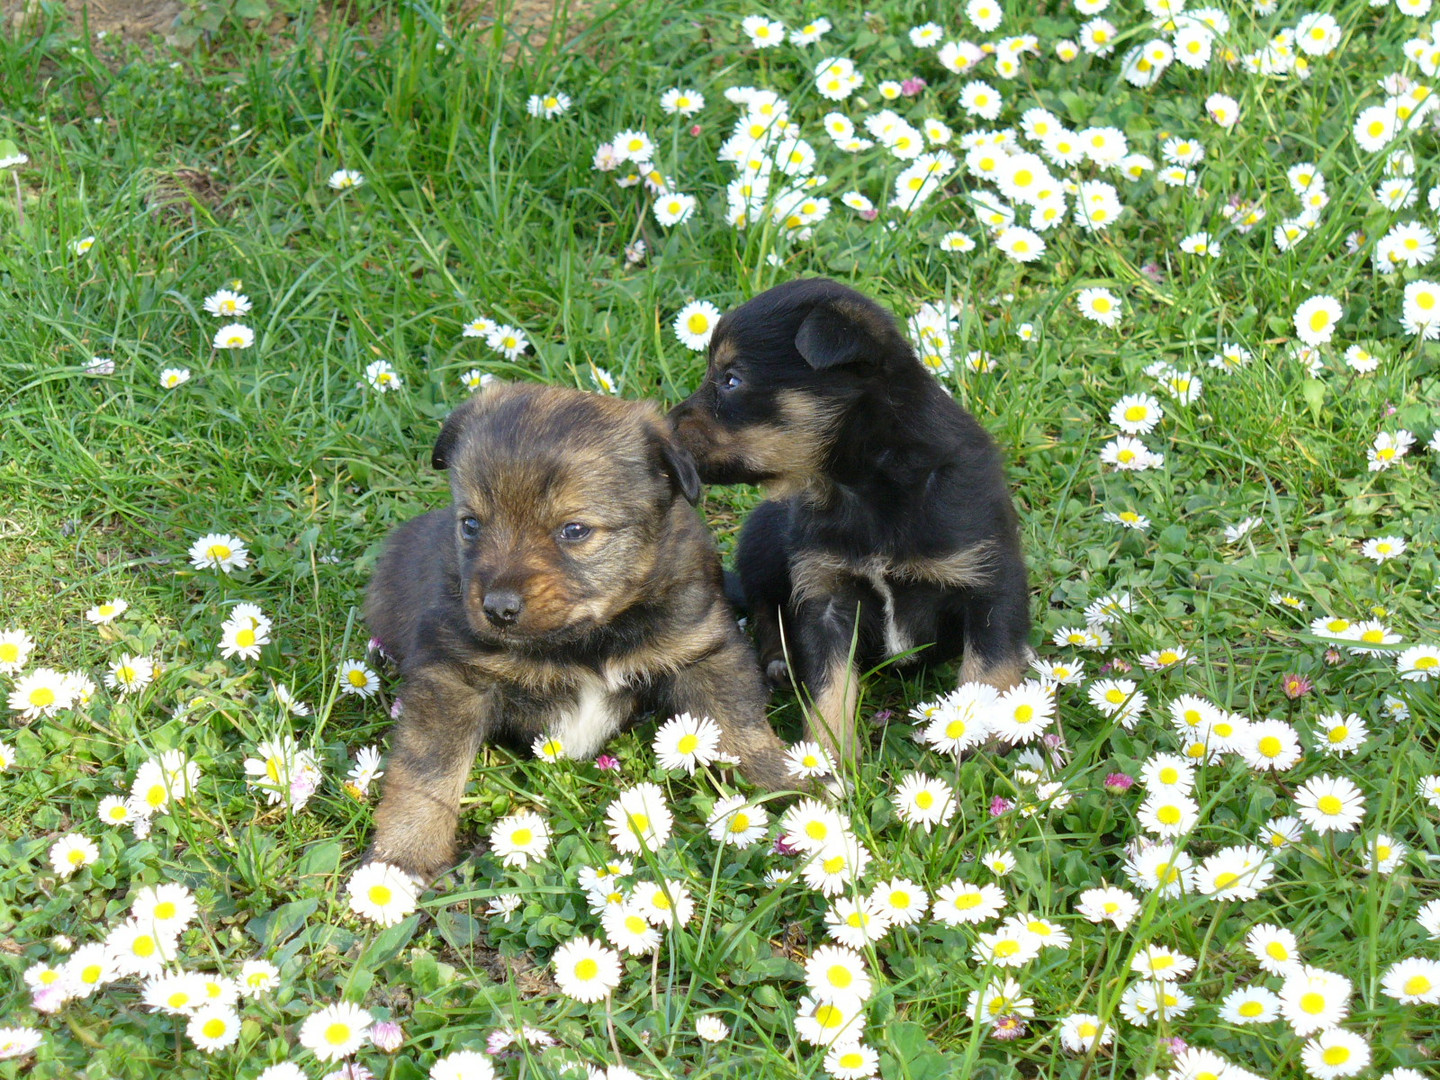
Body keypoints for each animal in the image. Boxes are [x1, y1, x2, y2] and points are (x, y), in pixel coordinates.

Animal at [360, 385, 789, 881]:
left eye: (574, 530)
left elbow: (740, 726)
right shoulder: (454, 675)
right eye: (470, 524)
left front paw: (788, 784)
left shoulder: (700, 649)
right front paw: (402, 859)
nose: (497, 609)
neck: (587, 638)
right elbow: (427, 771)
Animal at [668, 279, 1031, 771]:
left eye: (731, 379)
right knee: (764, 607)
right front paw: (828, 757)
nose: (663, 427)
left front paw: (986, 740)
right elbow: (829, 684)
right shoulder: (825, 595)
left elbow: (989, 668)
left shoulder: (989, 578)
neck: (865, 485)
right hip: (762, 538)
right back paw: (778, 663)